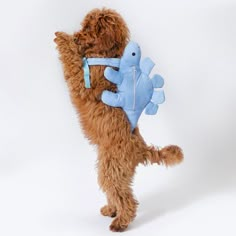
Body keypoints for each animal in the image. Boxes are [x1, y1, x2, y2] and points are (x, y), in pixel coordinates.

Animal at [54, 8, 183, 231]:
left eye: (89, 28)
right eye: (83, 26)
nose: (77, 36)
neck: (105, 54)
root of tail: (141, 147)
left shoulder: (82, 82)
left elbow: (73, 61)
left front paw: (63, 39)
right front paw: (68, 39)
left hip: (111, 168)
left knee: (126, 199)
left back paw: (120, 222)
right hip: (115, 170)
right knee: (117, 193)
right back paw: (111, 209)